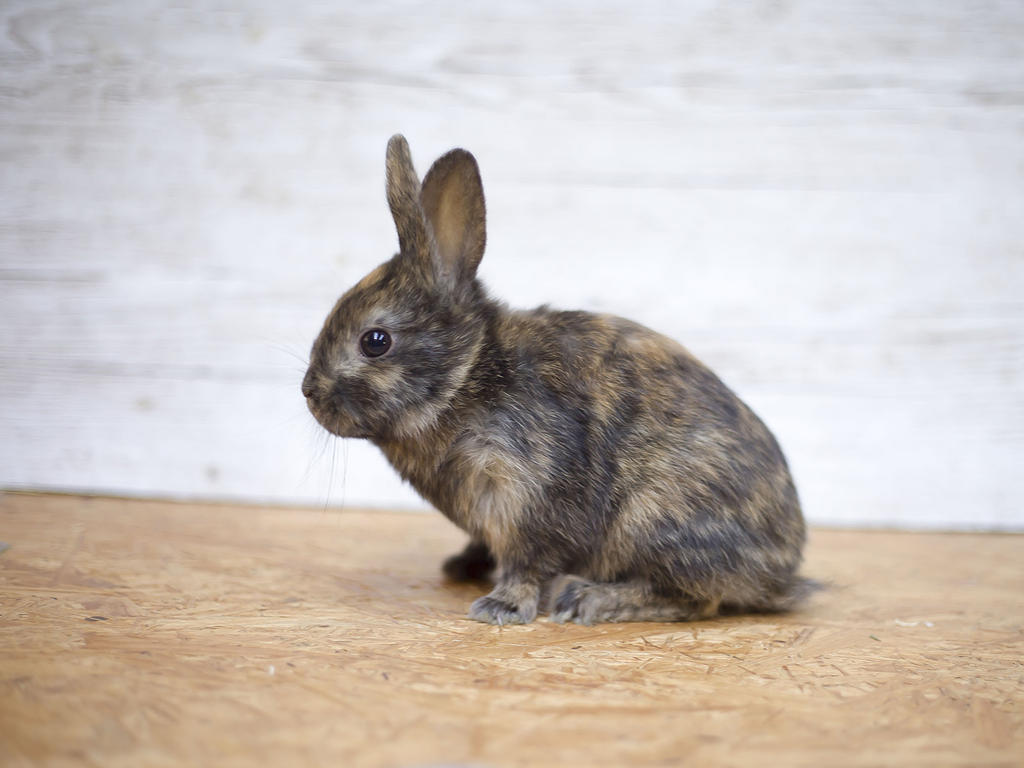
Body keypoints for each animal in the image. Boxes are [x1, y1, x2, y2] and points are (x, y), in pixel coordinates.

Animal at [302, 134, 817, 625]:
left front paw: (501, 607)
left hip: (654, 519)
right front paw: (464, 567)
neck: (467, 377)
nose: (309, 393)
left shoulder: (528, 493)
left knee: (697, 599)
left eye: (375, 341)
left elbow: (528, 562)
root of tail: (779, 572)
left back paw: (590, 600)